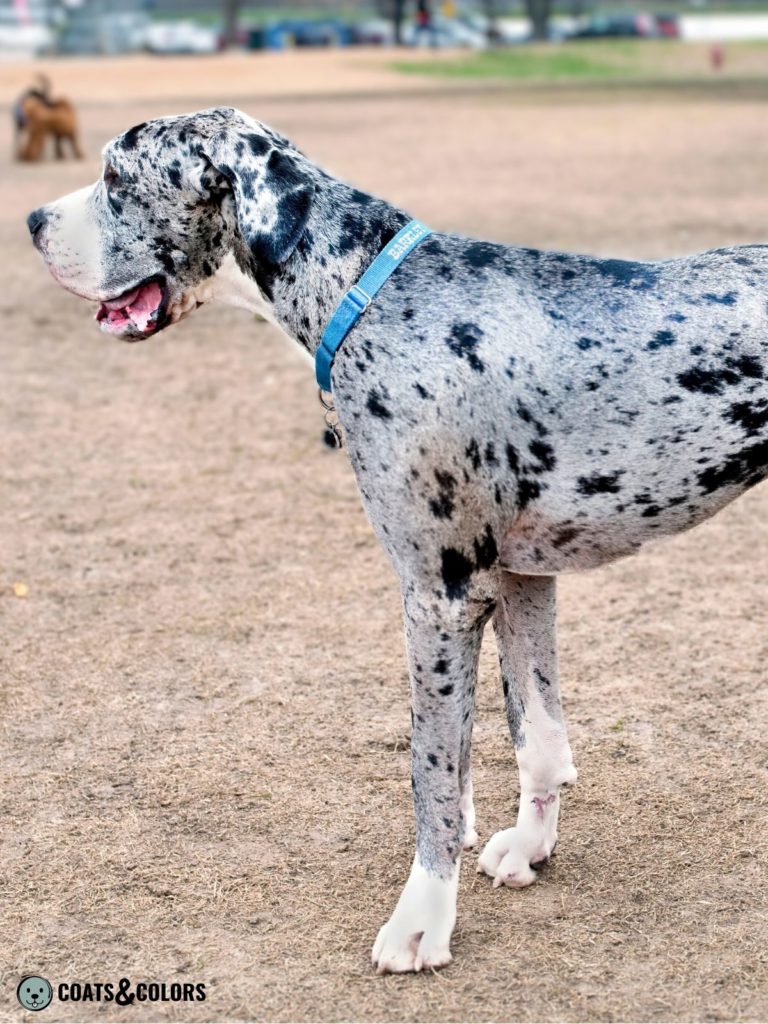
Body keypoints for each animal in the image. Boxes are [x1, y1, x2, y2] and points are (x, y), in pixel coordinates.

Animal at [27, 108, 768, 970]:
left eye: (117, 176)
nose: (32, 221)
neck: (364, 293)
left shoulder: (439, 599)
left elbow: (434, 774)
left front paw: (423, 917)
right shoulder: (520, 581)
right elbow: (537, 738)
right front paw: (531, 846)